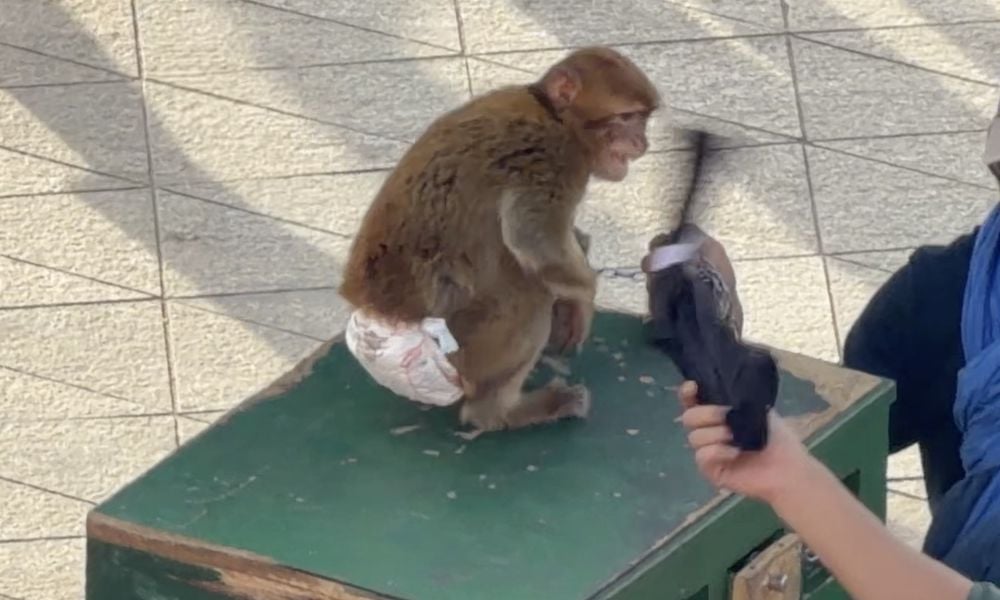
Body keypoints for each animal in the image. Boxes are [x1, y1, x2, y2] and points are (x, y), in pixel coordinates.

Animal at [340, 46, 660, 432]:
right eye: (626, 117)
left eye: (642, 119)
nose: (642, 142)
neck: (555, 116)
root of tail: (377, 315)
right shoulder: (550, 158)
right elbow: (535, 243)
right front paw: (585, 299)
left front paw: (576, 286)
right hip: (465, 352)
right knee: (530, 293)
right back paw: (500, 412)